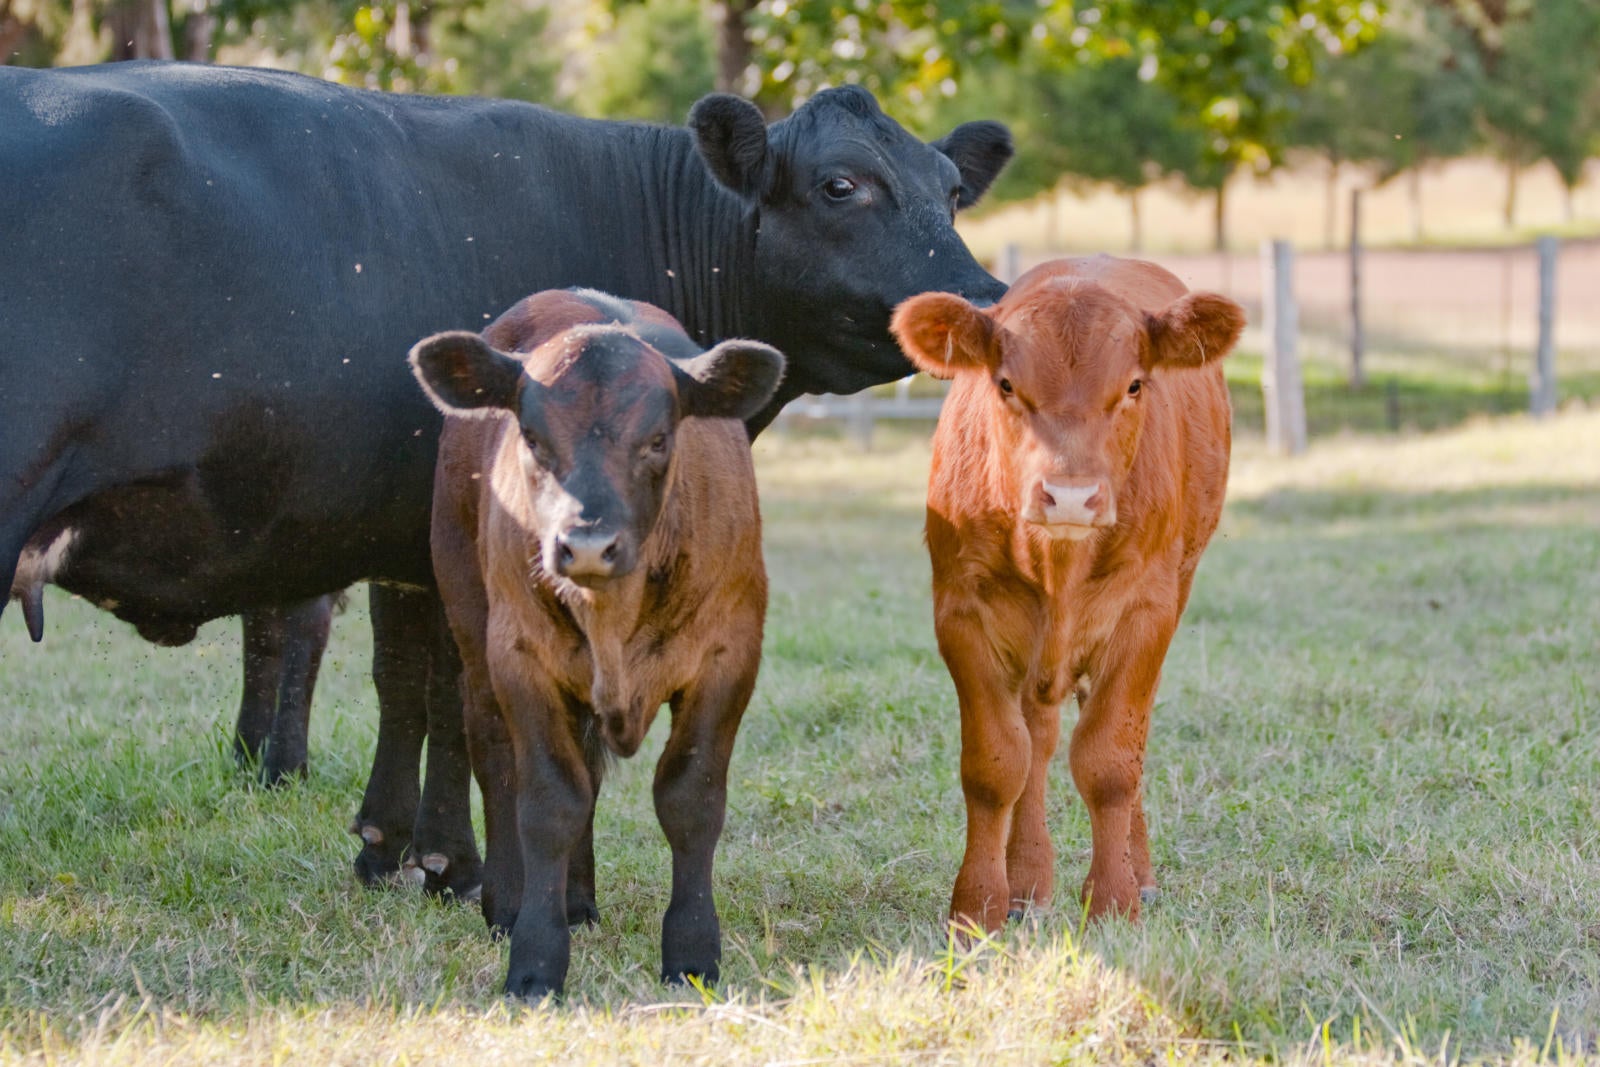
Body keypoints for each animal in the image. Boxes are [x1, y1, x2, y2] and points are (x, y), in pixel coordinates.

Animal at [0, 62, 1004, 895]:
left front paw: (388, 846)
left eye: (952, 190)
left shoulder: (404, 530)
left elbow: (405, 679)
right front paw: (460, 863)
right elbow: (455, 691)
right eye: (842, 184)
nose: (986, 299)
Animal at [409, 289, 784, 1004]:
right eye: (532, 438)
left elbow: (690, 797)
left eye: (658, 439)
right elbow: (550, 800)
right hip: (470, 617)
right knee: (495, 755)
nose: (585, 544)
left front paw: (692, 952)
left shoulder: (730, 655)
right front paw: (534, 957)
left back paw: (577, 899)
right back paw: (512, 901)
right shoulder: (519, 657)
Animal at [889, 254, 1248, 927]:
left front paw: (1114, 899)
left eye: (1134, 385)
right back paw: (1028, 879)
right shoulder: (961, 616)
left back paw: (1139, 872)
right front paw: (978, 906)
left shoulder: (1146, 614)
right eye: (1006, 384)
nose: (1072, 496)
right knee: (1039, 740)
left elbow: (1109, 761)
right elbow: (996, 764)